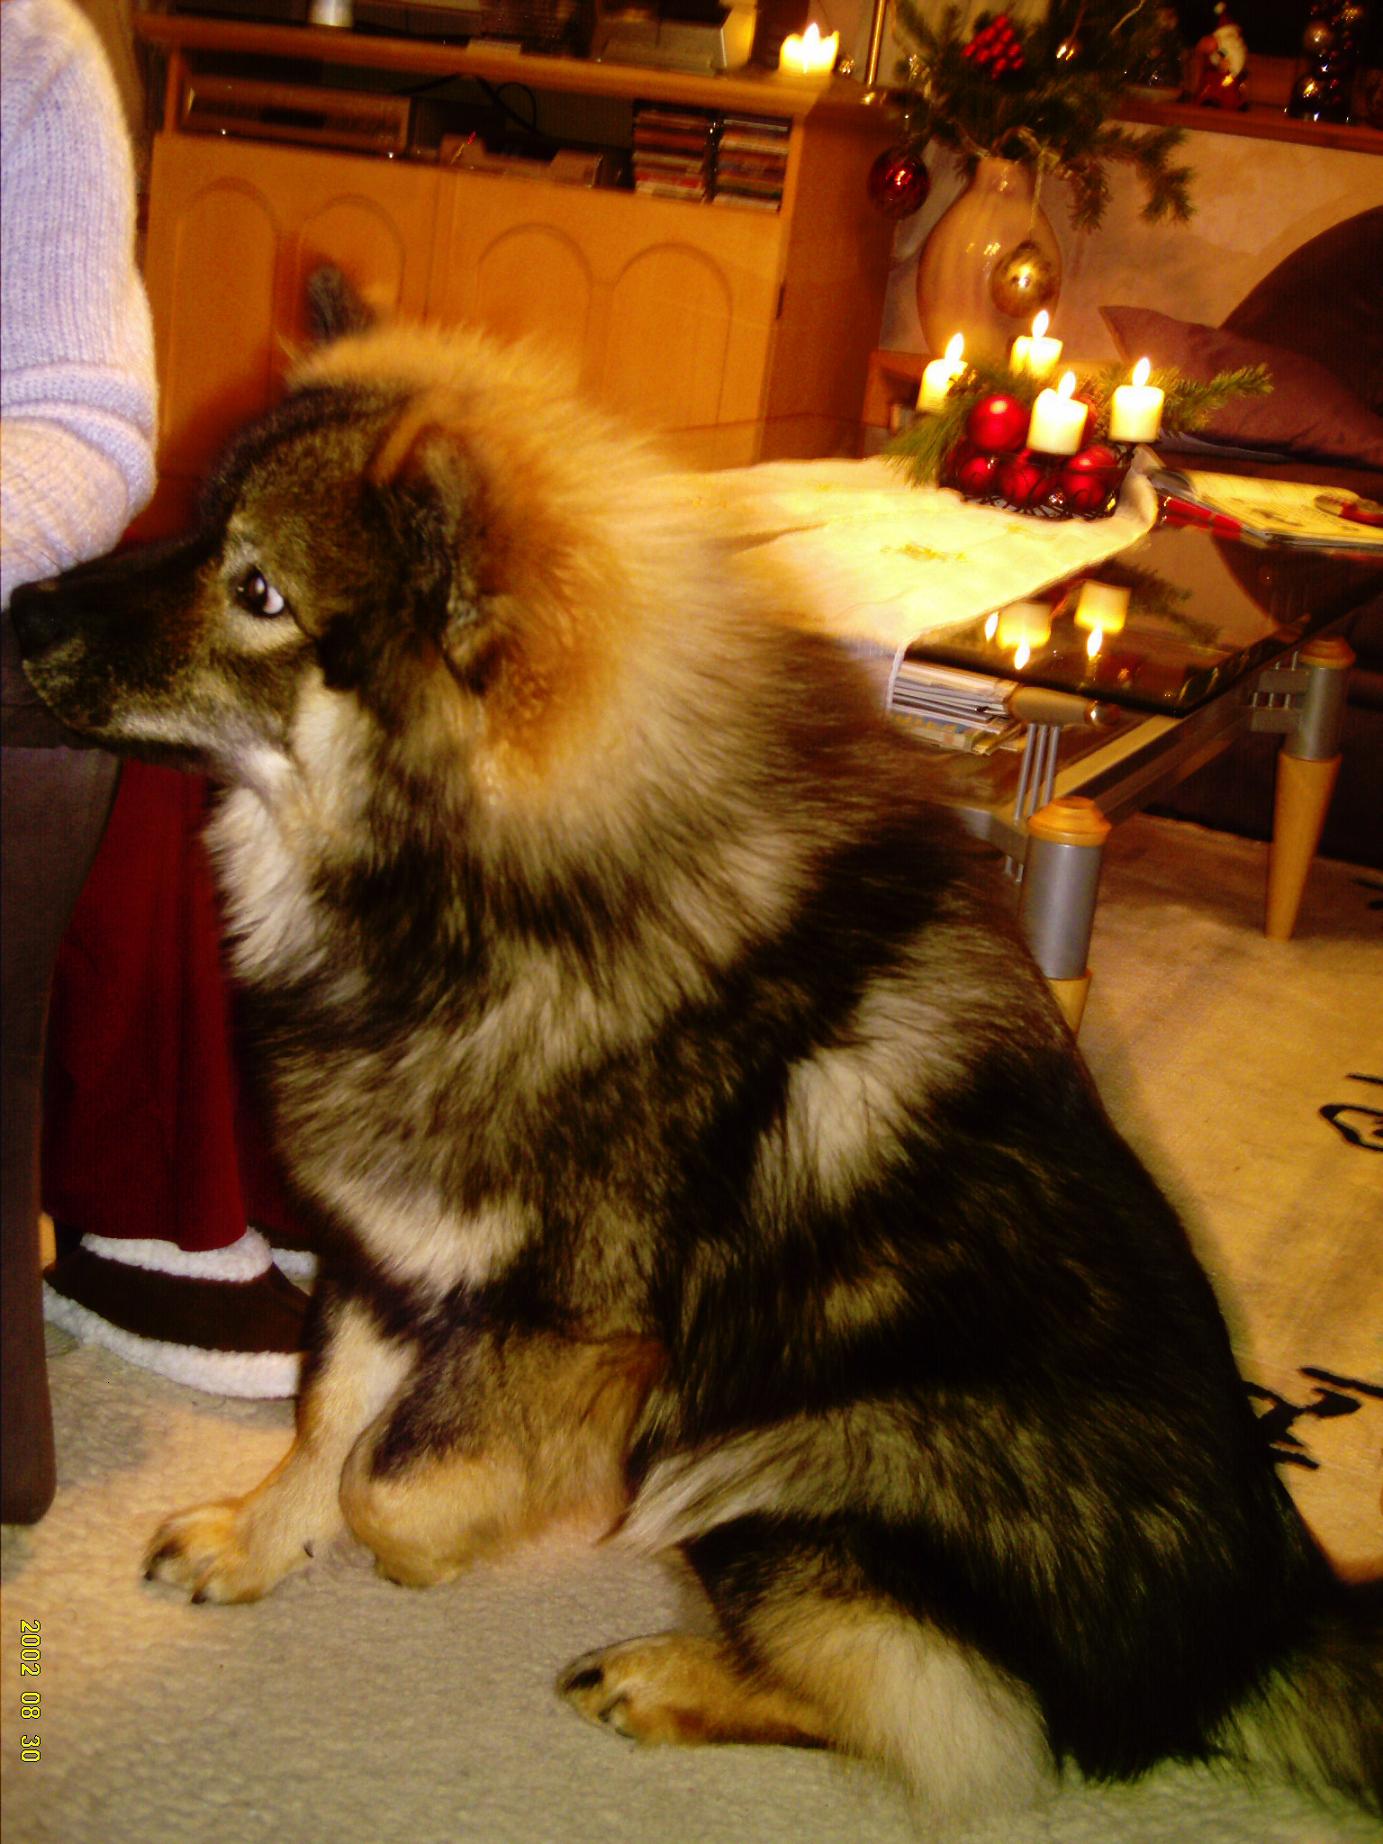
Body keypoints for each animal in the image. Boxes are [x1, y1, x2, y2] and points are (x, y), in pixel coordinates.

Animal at [12, 281, 1380, 1828]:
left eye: (260, 593)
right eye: (195, 524)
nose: (22, 609)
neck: (485, 900)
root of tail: (1264, 1627)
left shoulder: (580, 1326)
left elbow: (393, 1478)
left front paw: (419, 1552)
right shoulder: (386, 1248)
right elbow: (326, 1422)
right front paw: (259, 1541)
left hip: (774, 1464)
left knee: (948, 1719)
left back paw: (669, 1676)